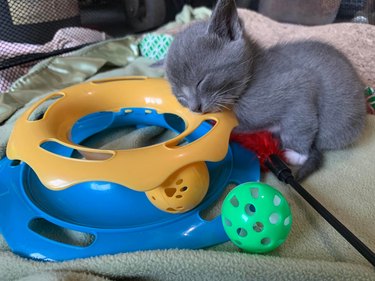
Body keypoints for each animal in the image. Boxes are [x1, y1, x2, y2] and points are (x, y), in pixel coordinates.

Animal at [167, 0, 368, 179]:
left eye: (200, 82)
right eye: (180, 95)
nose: (195, 108)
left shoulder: (301, 84)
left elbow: (298, 122)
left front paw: (297, 154)